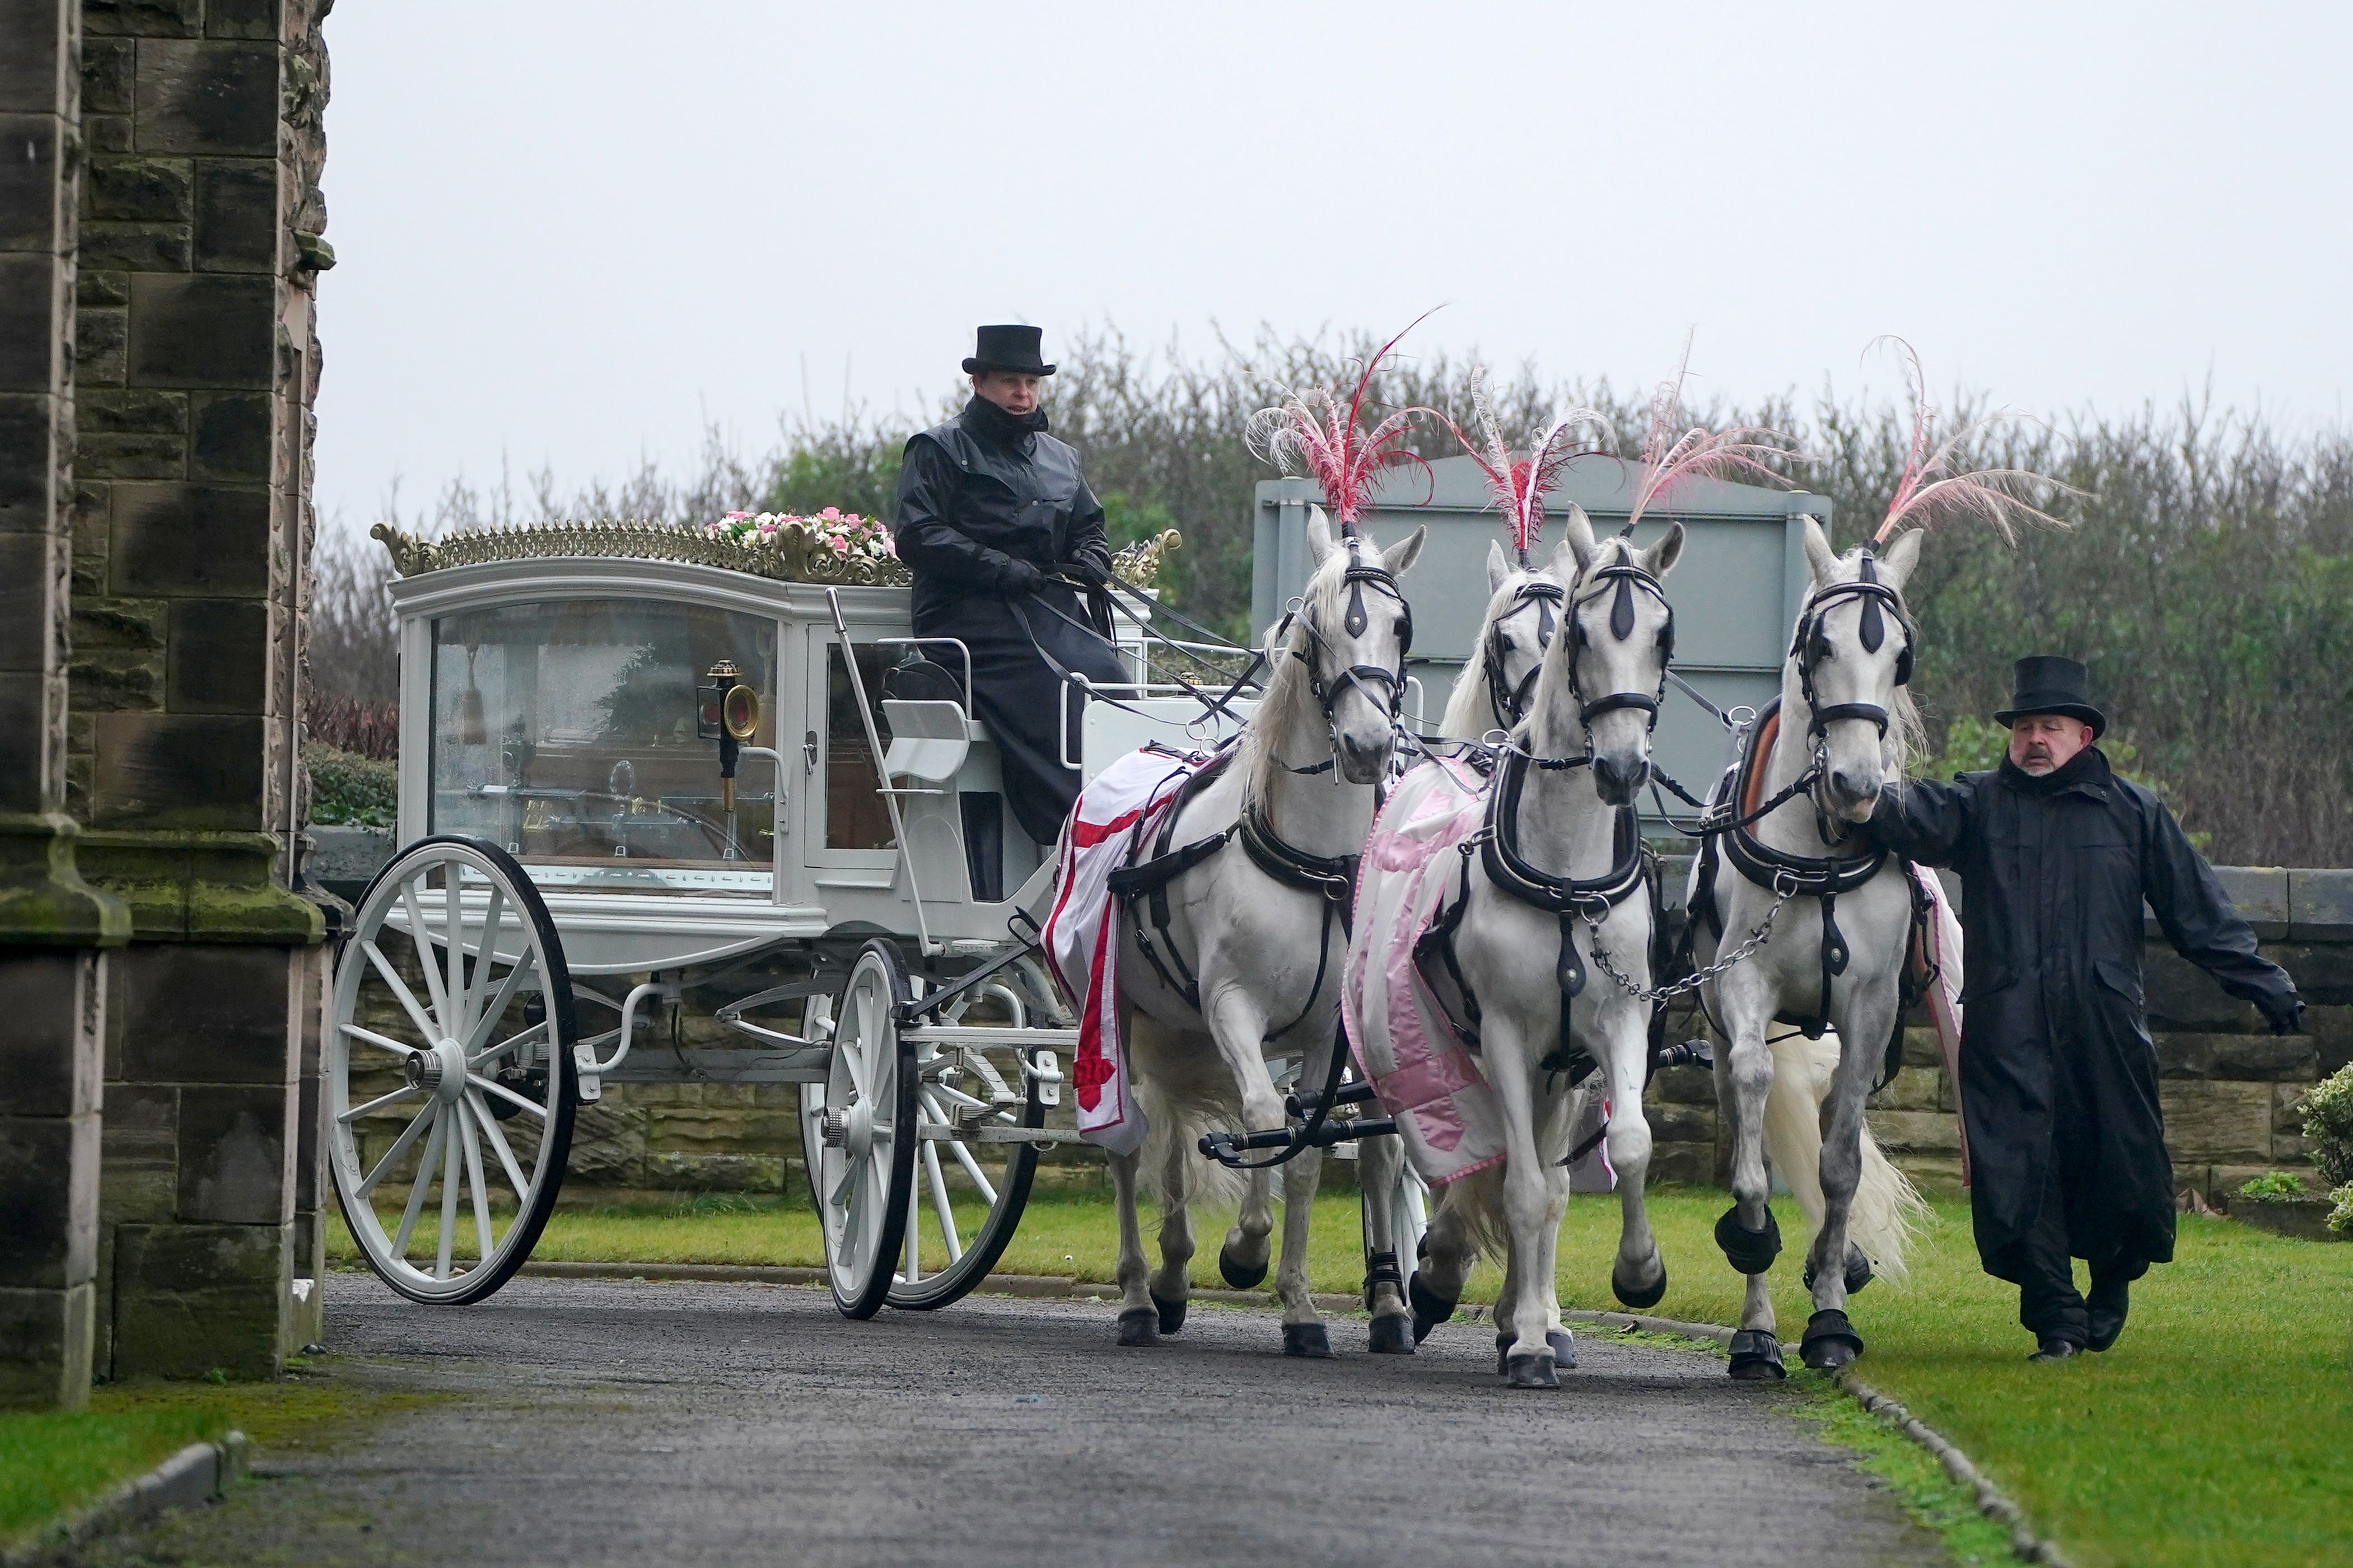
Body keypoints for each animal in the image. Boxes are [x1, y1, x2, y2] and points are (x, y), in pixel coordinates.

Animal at [1110, 510, 1421, 1354]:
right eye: (1314, 627)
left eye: (1399, 625)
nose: (1367, 747)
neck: (1315, 865)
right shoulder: (1231, 1006)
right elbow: (1260, 1119)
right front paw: (1246, 1249)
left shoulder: (1325, 1033)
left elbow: (1305, 1150)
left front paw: (1300, 1306)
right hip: (1119, 1021)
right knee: (1128, 1141)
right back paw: (1137, 1295)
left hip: (1178, 1029)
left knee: (1173, 1137)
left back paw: (1173, 1275)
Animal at [1694, 514, 1929, 1373]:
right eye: (1819, 645)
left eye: (1900, 656)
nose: (1856, 787)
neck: (1818, 850)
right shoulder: (1743, 988)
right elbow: (1753, 1157)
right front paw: (1754, 1265)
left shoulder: (1869, 1009)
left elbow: (1838, 1166)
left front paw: (1830, 1310)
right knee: (1749, 1110)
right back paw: (1757, 1324)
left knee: (1832, 1118)